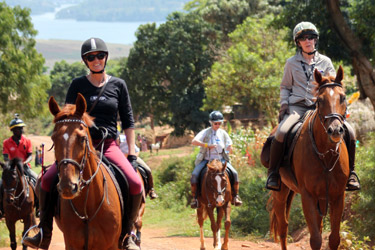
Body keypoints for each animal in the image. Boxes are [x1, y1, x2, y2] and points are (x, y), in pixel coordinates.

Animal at [47, 93, 122, 249]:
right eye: (53, 138)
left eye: (82, 138)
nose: (67, 186)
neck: (88, 209)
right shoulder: (71, 244)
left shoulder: (112, 245)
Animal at [268, 66, 352, 250]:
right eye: (319, 100)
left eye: (343, 97)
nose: (336, 130)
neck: (325, 154)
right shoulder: (308, 196)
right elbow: (315, 239)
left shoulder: (337, 196)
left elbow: (334, 238)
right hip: (281, 193)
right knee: (283, 227)